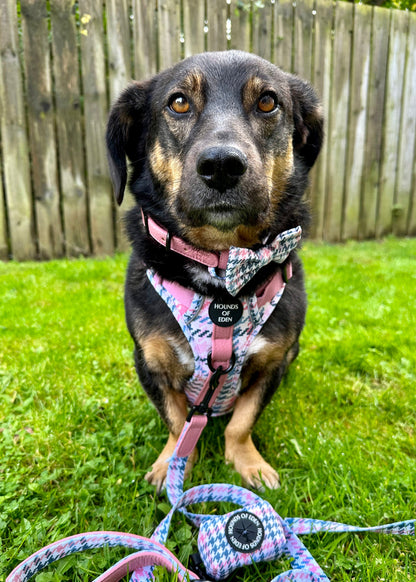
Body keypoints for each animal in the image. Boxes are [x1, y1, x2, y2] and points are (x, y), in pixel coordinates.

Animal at [105, 51, 324, 492]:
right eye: (178, 102)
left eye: (268, 102)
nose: (222, 165)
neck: (222, 271)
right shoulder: (149, 362)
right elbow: (176, 422)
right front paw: (172, 464)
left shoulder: (273, 363)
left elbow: (242, 421)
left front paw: (248, 462)